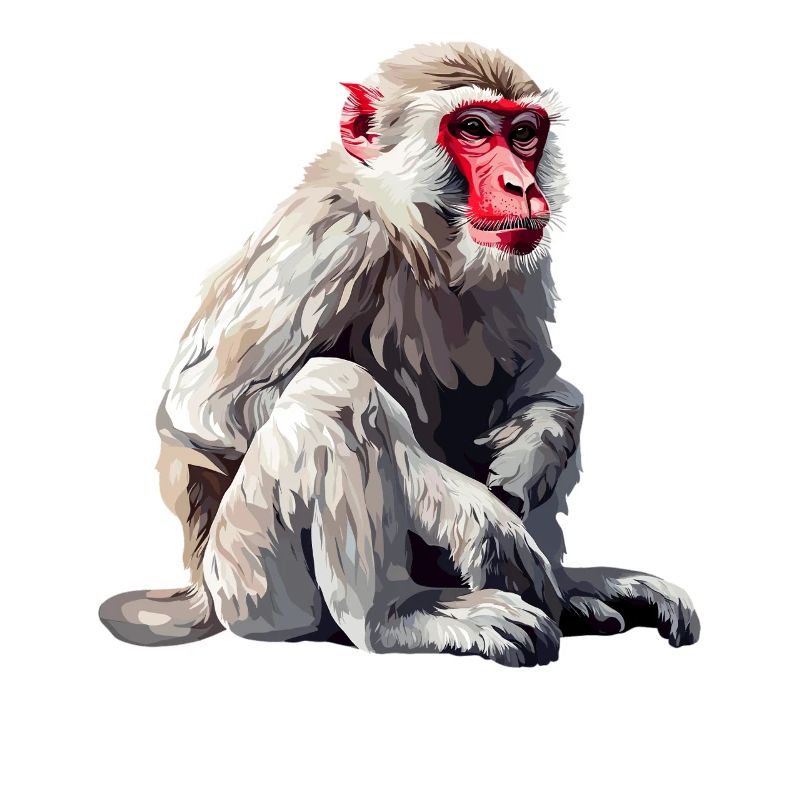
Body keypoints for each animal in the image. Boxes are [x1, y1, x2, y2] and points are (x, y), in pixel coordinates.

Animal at [99, 42, 699, 666]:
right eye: (473, 129)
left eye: (524, 133)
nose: (520, 184)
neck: (417, 231)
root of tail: (201, 591)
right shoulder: (332, 236)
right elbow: (206, 411)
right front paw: (470, 511)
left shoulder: (520, 259)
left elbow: (542, 382)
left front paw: (533, 451)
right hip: (250, 585)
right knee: (333, 393)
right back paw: (399, 617)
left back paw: (572, 591)